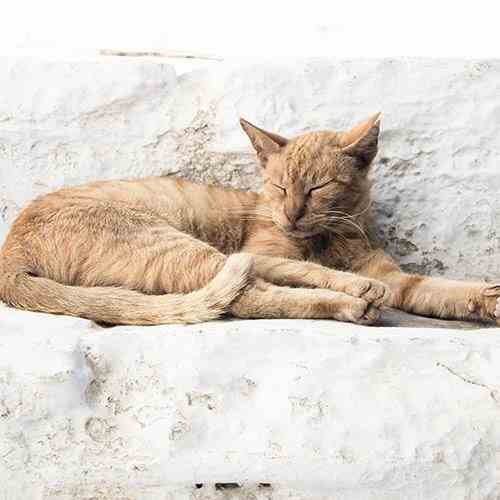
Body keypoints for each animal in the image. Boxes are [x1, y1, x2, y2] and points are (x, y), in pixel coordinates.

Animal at [1, 113, 499, 326]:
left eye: (317, 188)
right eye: (279, 187)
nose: (291, 213)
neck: (330, 237)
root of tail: (9, 255)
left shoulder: (396, 277)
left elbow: (436, 290)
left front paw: (485, 298)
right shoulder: (261, 253)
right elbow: (304, 268)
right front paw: (356, 285)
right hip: (175, 245)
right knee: (250, 296)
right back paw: (354, 302)